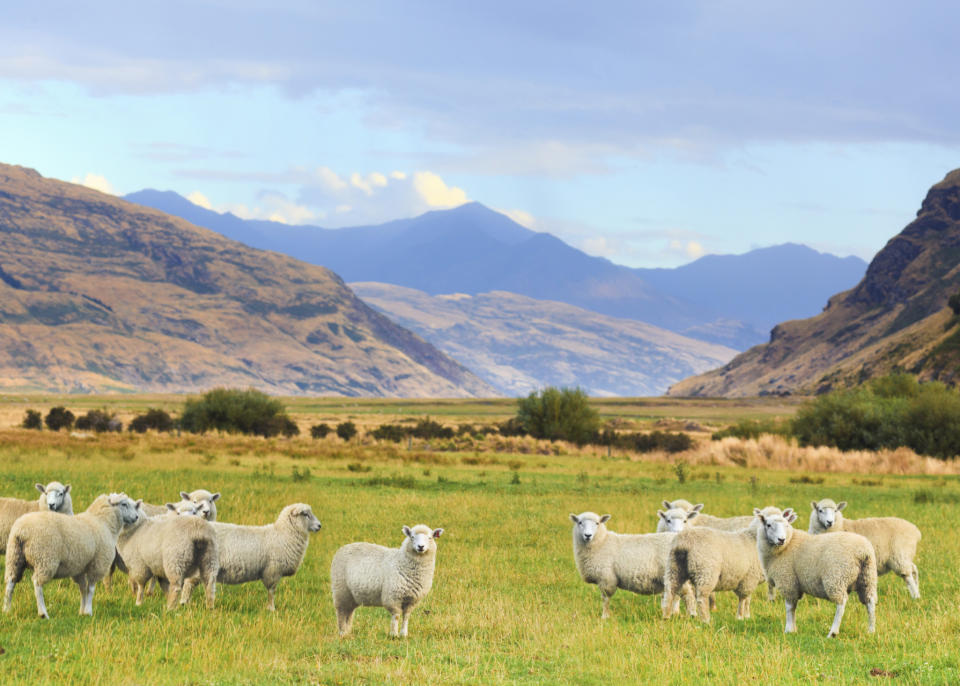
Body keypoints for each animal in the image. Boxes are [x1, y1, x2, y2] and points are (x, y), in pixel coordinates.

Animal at [2, 492, 141, 620]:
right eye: (124, 504)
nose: (136, 517)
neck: (103, 523)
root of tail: (22, 531)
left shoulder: (80, 567)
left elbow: (83, 589)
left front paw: (82, 612)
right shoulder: (97, 564)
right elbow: (91, 589)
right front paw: (88, 611)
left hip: (14, 557)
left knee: (10, 582)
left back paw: (6, 609)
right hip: (45, 558)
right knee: (37, 584)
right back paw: (43, 613)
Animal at [182, 500, 324, 612]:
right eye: (305, 514)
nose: (319, 526)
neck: (283, 534)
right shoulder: (273, 570)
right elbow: (271, 591)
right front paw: (271, 609)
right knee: (190, 583)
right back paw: (188, 603)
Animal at [756, 506, 876, 640]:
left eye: (787, 524)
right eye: (768, 525)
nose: (781, 539)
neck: (788, 544)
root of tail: (863, 551)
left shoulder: (787, 581)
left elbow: (789, 607)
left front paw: (788, 629)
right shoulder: (794, 584)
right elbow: (794, 607)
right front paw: (794, 629)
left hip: (836, 577)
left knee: (841, 603)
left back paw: (833, 632)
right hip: (867, 577)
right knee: (870, 602)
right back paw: (871, 630)